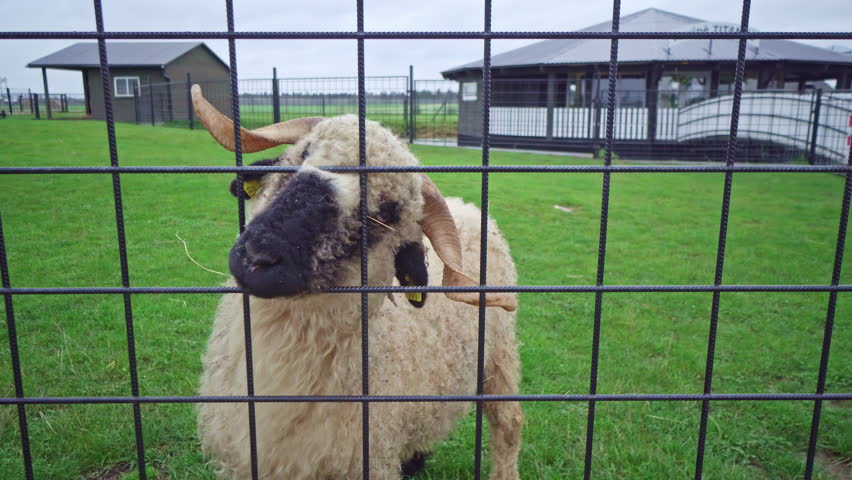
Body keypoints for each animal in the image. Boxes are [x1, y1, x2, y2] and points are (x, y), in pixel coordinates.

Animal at [191, 85, 523, 480]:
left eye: (387, 212)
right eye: (302, 155)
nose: (260, 256)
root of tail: (469, 207)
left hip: (500, 355)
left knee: (508, 423)